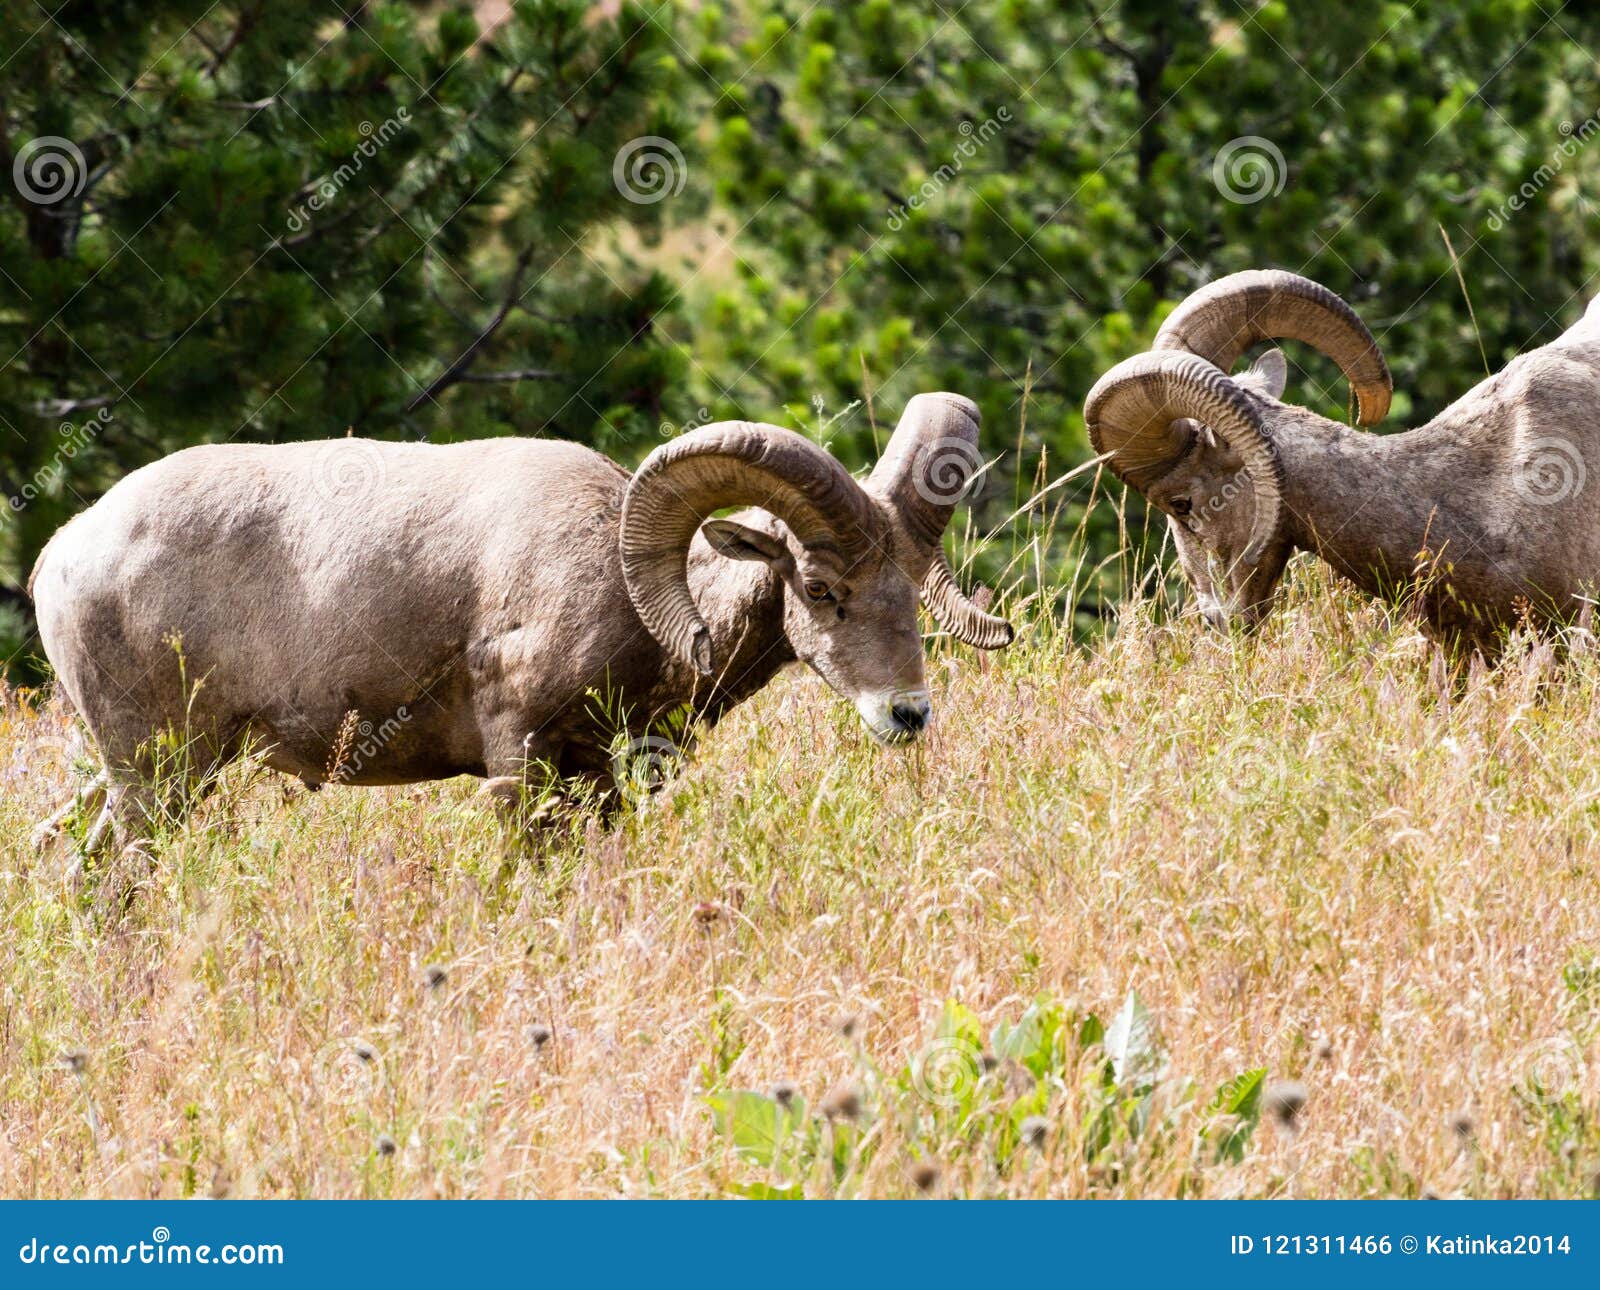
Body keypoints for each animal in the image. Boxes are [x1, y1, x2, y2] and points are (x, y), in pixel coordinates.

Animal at [28, 396, 1011, 857]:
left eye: (909, 590)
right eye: (819, 588)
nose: (907, 715)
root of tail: (65, 553)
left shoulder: (598, 778)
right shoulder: (518, 761)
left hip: (143, 775)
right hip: (155, 778)